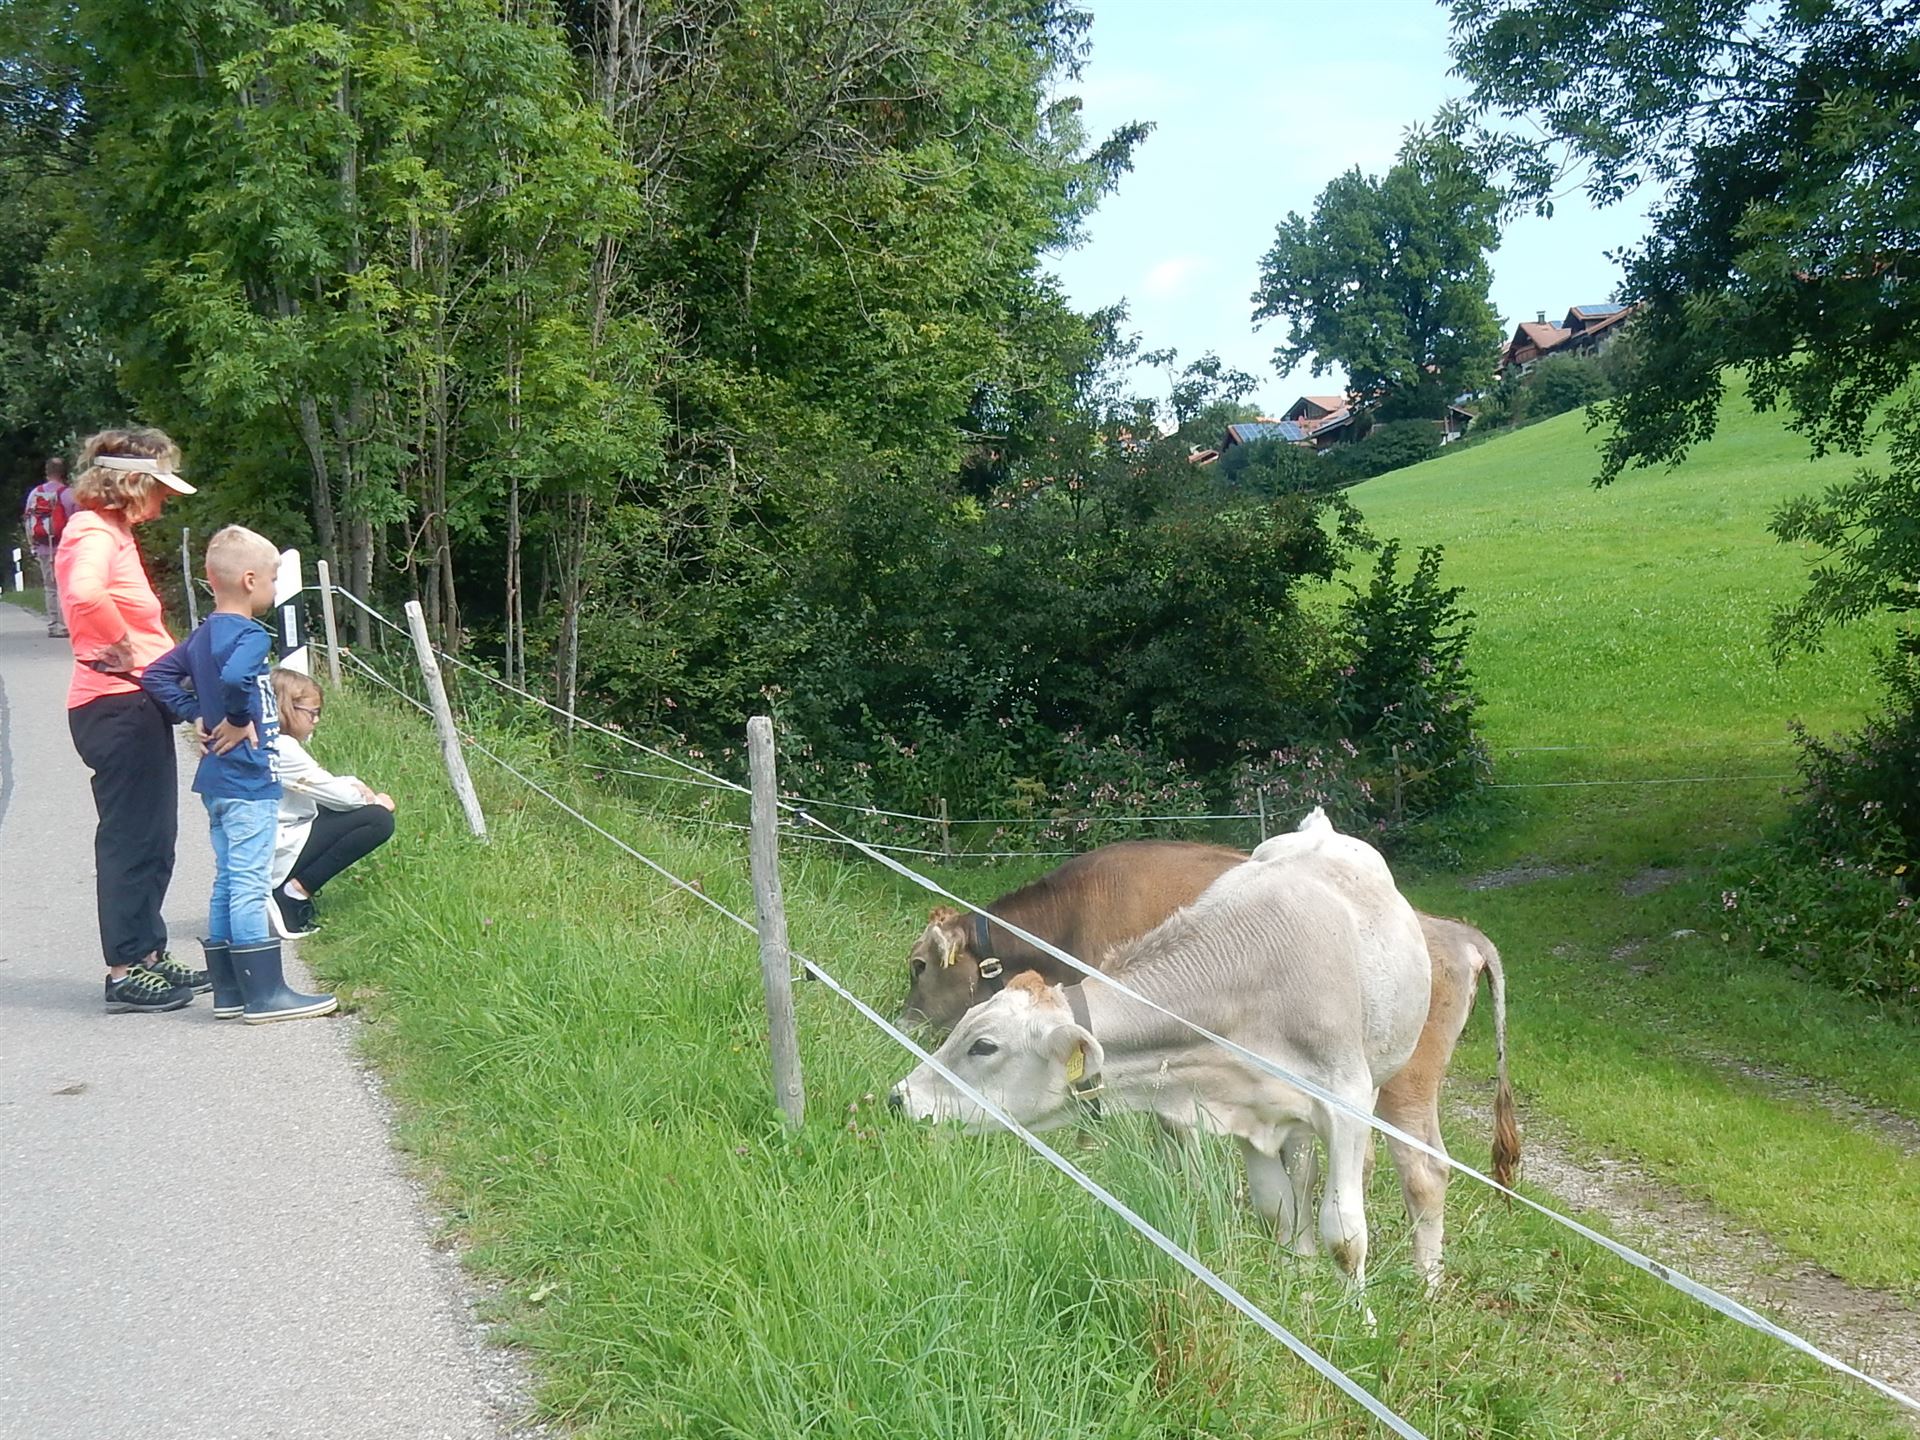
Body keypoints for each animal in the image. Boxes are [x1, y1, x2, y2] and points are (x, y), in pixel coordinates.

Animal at [896, 838, 1520, 1278]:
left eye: (919, 966)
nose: (901, 1024)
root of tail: (1462, 933)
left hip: (1404, 1085)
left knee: (1424, 1173)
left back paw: (1427, 1285)